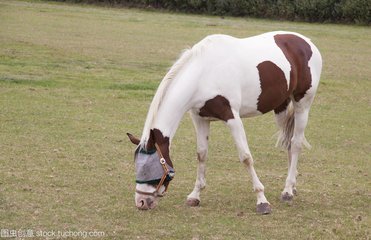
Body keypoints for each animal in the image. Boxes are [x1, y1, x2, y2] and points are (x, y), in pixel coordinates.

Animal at [128, 30, 322, 214]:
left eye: (149, 168)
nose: (141, 202)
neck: (203, 74)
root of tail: (307, 42)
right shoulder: (200, 119)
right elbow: (201, 154)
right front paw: (195, 195)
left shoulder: (232, 118)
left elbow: (246, 157)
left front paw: (262, 200)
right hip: (280, 106)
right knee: (288, 143)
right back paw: (291, 186)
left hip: (302, 104)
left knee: (296, 143)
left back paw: (288, 191)